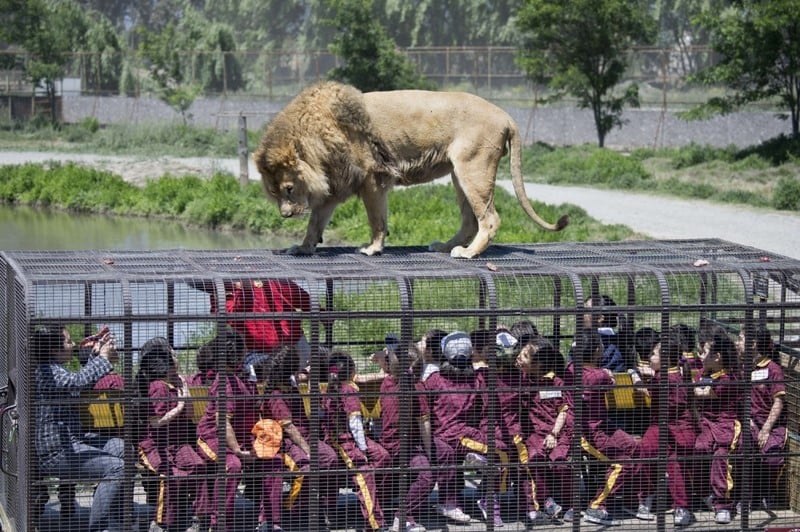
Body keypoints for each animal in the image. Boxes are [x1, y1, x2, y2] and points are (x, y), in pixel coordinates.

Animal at [253, 79, 564, 260]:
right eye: (274, 193)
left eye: (288, 189)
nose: (285, 214)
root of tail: (506, 115)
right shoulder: (335, 185)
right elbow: (314, 223)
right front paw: (302, 248)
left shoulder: (373, 179)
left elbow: (377, 220)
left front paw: (372, 248)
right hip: (458, 174)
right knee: (469, 221)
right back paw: (444, 246)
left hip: (473, 168)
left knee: (489, 219)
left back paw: (468, 253)